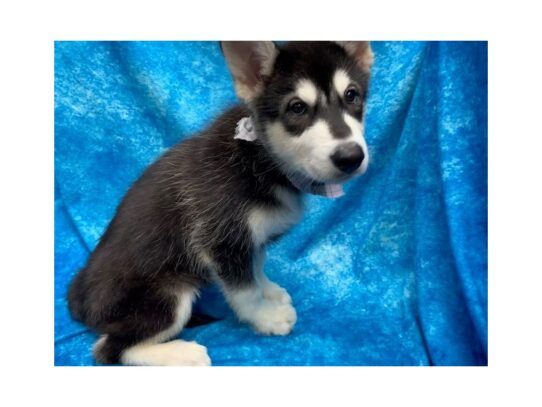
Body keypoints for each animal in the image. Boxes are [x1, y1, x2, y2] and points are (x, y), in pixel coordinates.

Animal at [67, 41, 374, 366]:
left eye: (352, 95)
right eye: (297, 107)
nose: (351, 157)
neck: (262, 158)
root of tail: (80, 299)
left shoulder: (249, 237)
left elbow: (256, 264)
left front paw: (268, 290)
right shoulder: (219, 240)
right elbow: (244, 292)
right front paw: (265, 317)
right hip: (168, 293)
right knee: (108, 349)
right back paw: (182, 354)